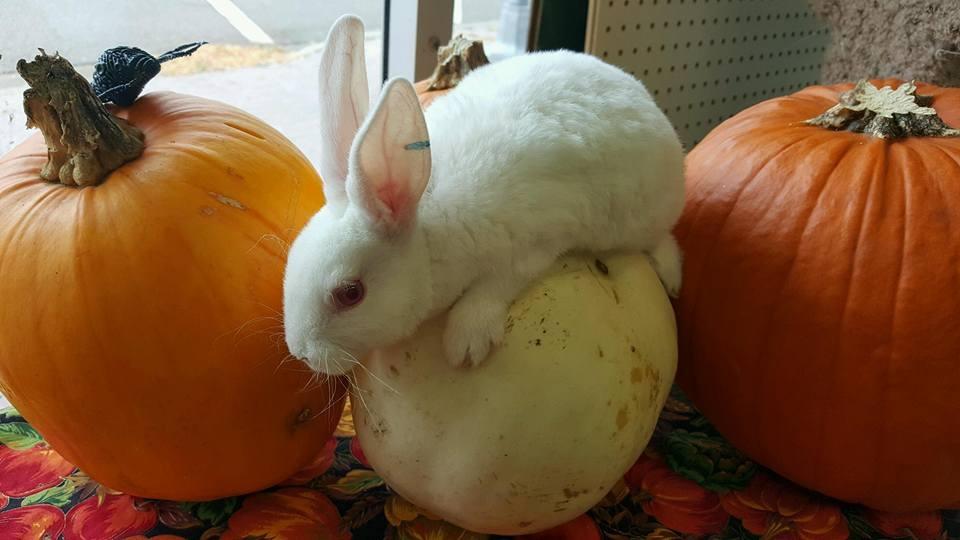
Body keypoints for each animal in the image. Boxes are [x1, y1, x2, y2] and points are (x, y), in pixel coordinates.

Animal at [283, 15, 686, 376]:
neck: (428, 233)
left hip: (642, 216)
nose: (301, 353)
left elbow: (495, 286)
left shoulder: (534, 243)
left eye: (350, 293)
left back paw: (671, 276)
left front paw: (466, 342)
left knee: (663, 239)